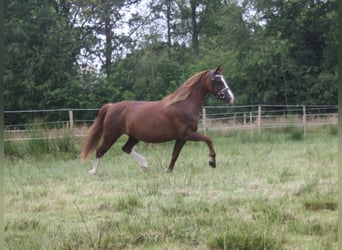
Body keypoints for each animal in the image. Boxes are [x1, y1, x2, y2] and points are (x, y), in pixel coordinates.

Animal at [81, 65, 234, 173]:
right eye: (218, 81)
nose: (231, 98)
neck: (184, 105)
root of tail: (112, 106)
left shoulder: (181, 138)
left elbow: (174, 155)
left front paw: (168, 171)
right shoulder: (187, 134)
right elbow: (208, 139)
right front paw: (212, 162)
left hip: (134, 136)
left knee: (126, 148)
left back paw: (144, 165)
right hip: (111, 135)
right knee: (100, 150)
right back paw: (93, 171)